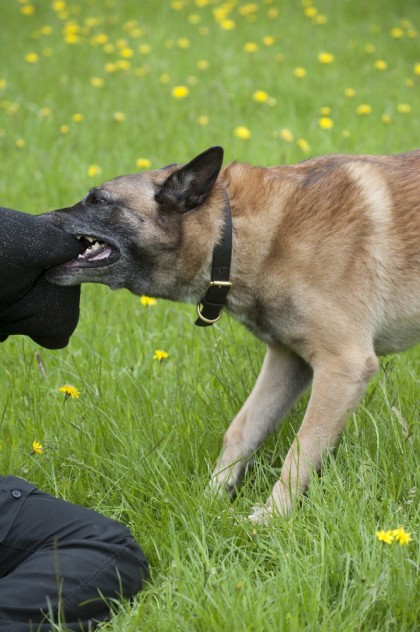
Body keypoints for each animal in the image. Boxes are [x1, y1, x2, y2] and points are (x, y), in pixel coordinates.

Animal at [46, 148, 420, 524]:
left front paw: (271, 519)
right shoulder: (289, 360)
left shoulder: (343, 365)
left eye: (99, 200)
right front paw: (212, 499)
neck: (232, 234)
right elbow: (242, 429)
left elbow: (301, 450)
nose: (39, 221)